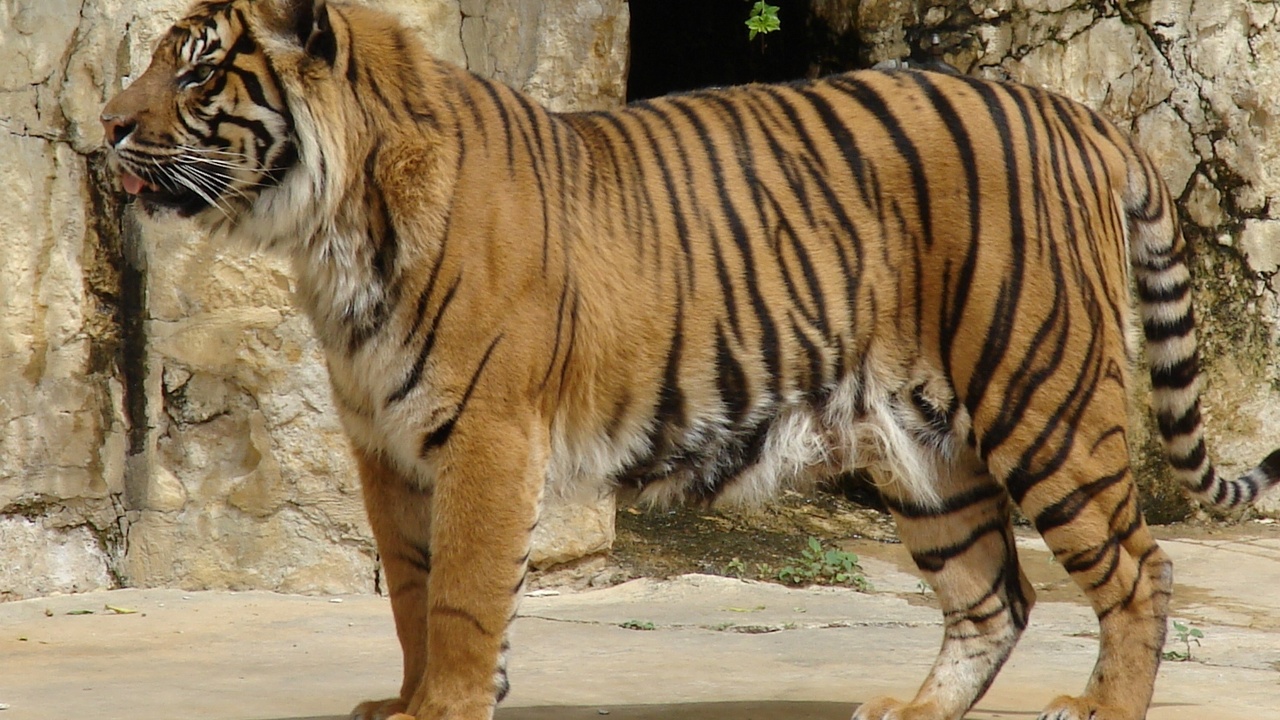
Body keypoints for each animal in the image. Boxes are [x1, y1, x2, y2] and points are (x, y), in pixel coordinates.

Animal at [100, 1, 1280, 719]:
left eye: (195, 74)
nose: (104, 125)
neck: (330, 227)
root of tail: (1081, 116)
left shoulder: (487, 432)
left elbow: (465, 596)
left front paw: (446, 706)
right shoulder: (384, 445)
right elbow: (411, 591)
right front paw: (407, 700)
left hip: (1043, 398)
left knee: (1137, 570)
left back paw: (1099, 706)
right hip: (923, 451)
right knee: (997, 596)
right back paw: (911, 709)